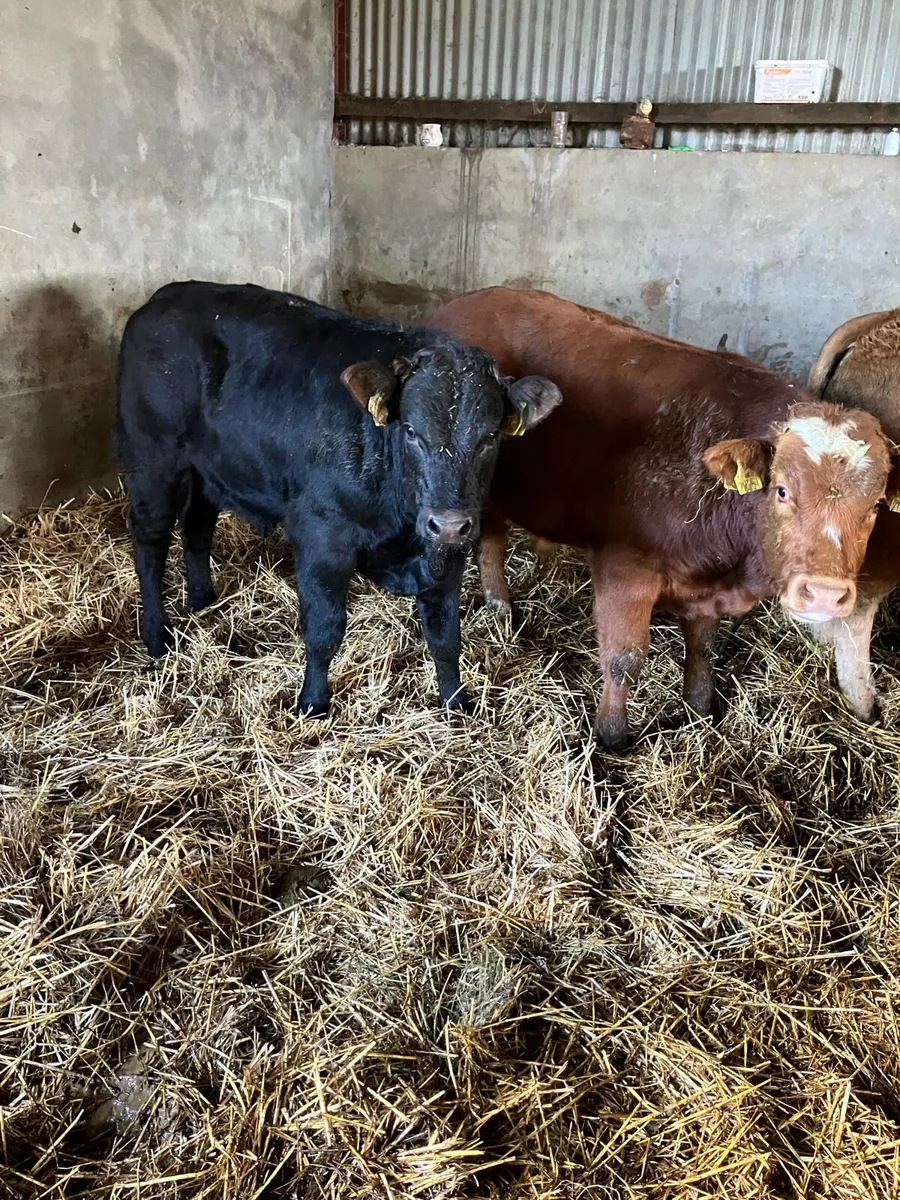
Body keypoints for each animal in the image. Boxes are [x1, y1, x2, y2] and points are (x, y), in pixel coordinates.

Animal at [115, 282, 560, 717]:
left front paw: (456, 703)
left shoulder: (446, 552)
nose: (448, 523)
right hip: (152, 459)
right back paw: (156, 635)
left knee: (196, 523)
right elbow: (325, 629)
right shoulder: (322, 537)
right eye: (411, 430)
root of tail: (165, 296)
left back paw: (202, 601)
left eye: (490, 436)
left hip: (209, 467)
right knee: (151, 540)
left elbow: (445, 633)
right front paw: (312, 703)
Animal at [426, 287, 899, 750]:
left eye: (876, 504)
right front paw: (612, 739)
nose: (824, 595)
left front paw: (699, 711)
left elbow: (702, 649)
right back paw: (500, 607)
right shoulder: (624, 567)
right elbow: (624, 660)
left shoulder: (707, 592)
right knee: (491, 538)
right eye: (782, 490)